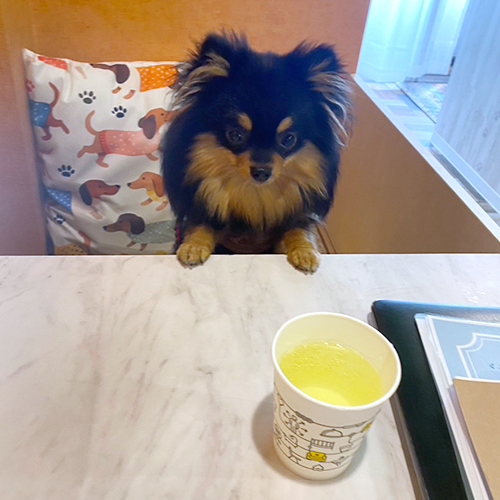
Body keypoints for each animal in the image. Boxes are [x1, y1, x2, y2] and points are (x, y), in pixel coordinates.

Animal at [161, 33, 351, 273]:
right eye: (236, 135)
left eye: (288, 139)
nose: (261, 172)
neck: (254, 197)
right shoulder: (206, 212)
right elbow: (200, 224)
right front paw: (193, 247)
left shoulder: (288, 222)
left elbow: (298, 229)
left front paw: (306, 252)